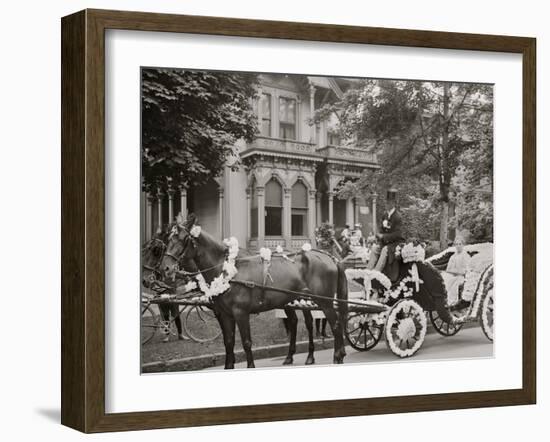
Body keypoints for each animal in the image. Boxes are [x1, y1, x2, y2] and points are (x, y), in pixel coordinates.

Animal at [161, 214, 350, 370]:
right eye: (168, 238)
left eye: (183, 238)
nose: (166, 268)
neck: (227, 269)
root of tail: (330, 257)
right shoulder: (225, 314)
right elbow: (228, 342)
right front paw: (228, 366)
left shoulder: (241, 313)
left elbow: (246, 342)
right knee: (300, 323)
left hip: (324, 302)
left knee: (334, 325)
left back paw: (337, 356)